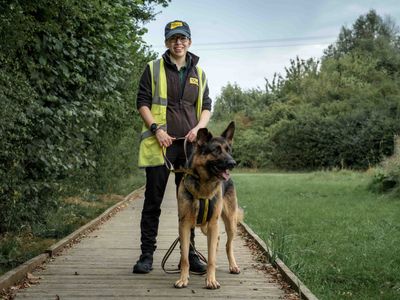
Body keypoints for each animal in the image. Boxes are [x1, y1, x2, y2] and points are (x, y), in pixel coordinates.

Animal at [174, 120, 241, 290]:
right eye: (216, 150)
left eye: (228, 150)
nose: (233, 163)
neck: (203, 186)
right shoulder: (184, 225)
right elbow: (185, 257)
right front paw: (183, 278)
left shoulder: (212, 224)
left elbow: (210, 258)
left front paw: (211, 280)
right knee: (217, 242)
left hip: (229, 224)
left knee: (228, 245)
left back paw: (233, 266)